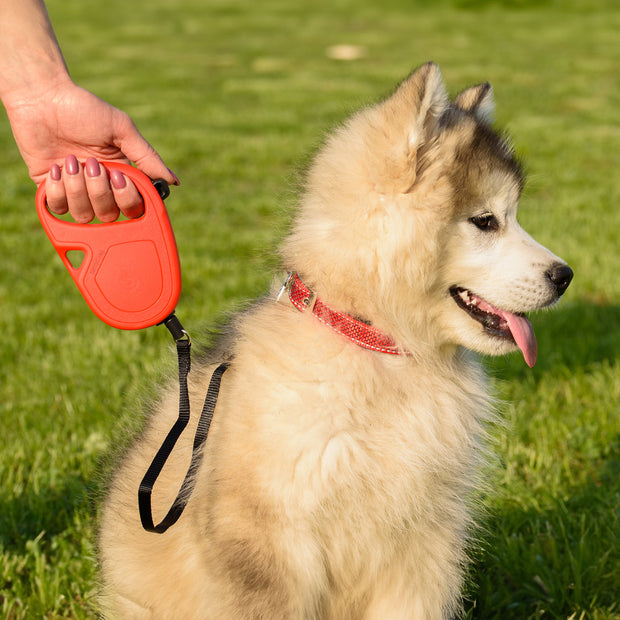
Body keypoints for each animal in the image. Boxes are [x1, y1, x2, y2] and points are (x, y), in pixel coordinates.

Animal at [98, 60, 572, 616]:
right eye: (485, 221)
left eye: (511, 215)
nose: (565, 276)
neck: (373, 344)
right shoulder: (268, 548)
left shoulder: (424, 545)